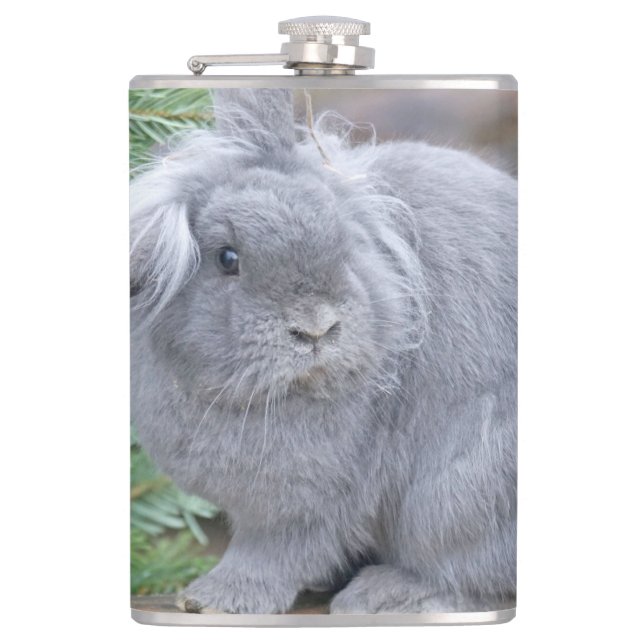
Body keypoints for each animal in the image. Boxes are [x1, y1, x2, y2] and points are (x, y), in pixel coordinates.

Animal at [130, 88, 517, 615]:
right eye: (227, 258)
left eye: (344, 242)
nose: (316, 328)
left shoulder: (301, 507)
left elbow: (272, 554)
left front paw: (213, 600)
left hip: (456, 499)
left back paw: (382, 596)